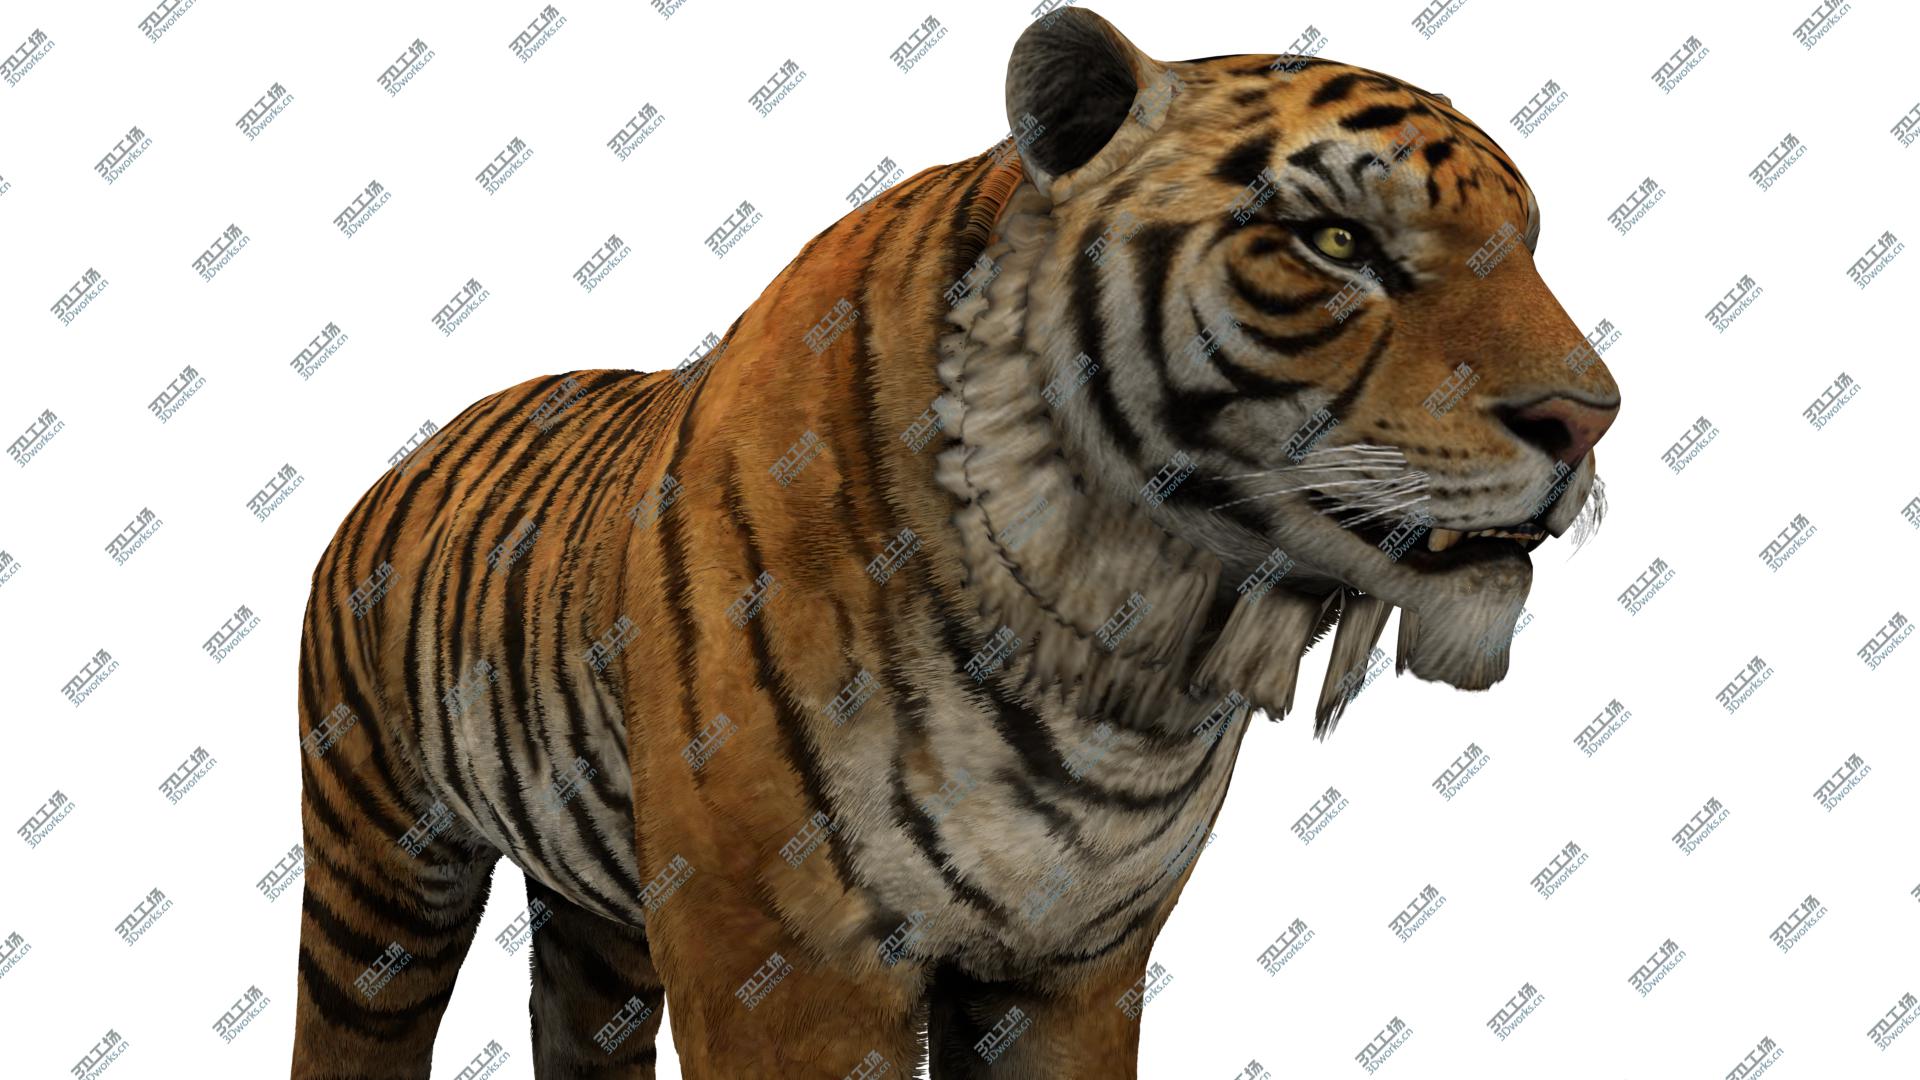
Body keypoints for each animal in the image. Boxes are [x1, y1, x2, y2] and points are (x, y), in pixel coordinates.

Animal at [288, 8, 1620, 1078]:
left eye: (1529, 248)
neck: (1124, 659)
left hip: (597, 915)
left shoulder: (1075, 967)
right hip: (378, 872)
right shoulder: (782, 962)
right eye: (1336, 243)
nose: (1591, 418)